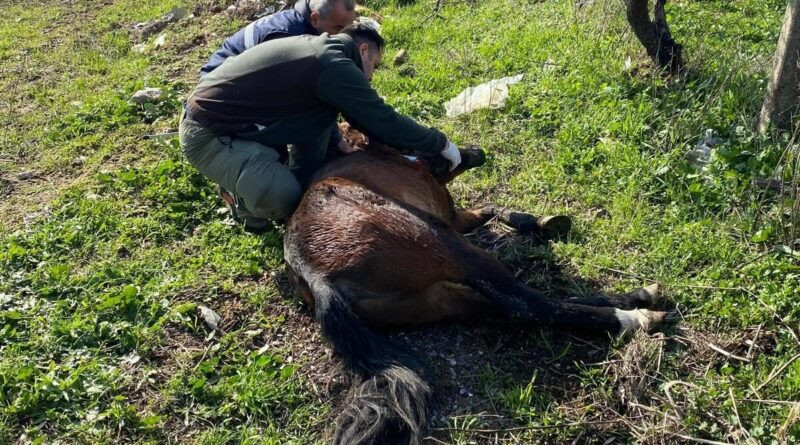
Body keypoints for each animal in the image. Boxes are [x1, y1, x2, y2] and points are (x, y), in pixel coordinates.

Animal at [282, 126, 668, 442]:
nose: (477, 152)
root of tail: (315, 276)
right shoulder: (448, 221)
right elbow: (491, 213)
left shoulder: (455, 220)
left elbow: (491, 209)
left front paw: (538, 222)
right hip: (443, 245)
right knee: (525, 305)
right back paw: (631, 315)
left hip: (437, 297)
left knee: (504, 307)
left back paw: (636, 300)